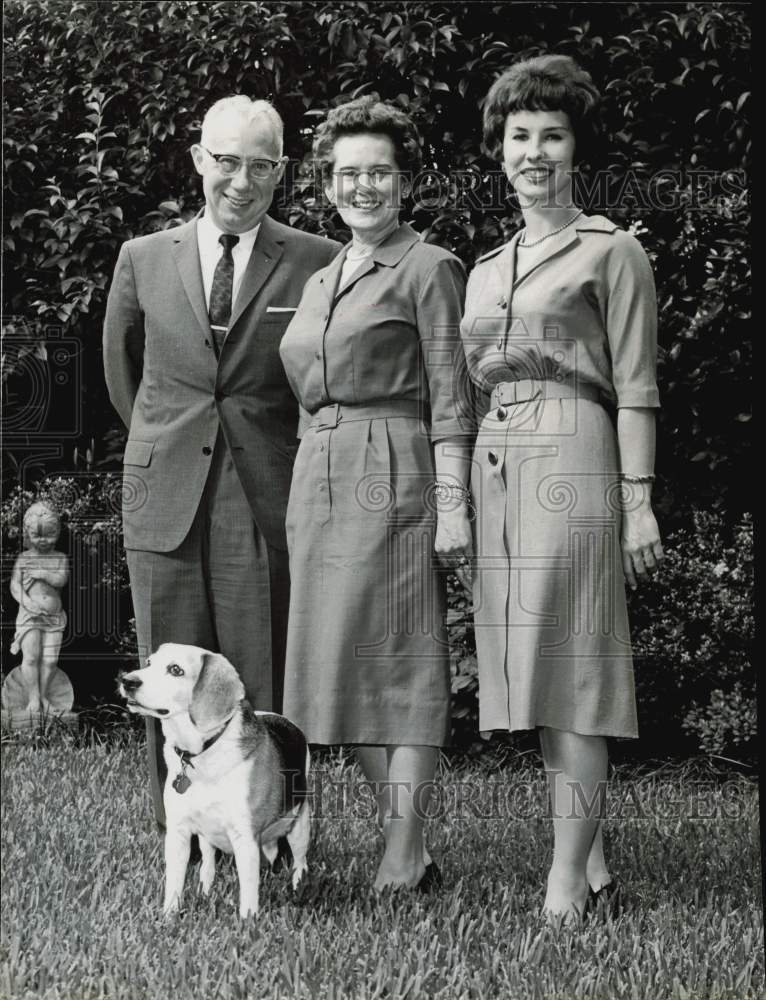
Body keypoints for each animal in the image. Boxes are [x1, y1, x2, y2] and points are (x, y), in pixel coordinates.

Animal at [118, 644, 310, 916]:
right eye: (148, 663)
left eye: (175, 669)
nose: (127, 681)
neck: (201, 753)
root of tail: (285, 720)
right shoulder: (178, 832)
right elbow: (174, 883)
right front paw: (168, 917)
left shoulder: (244, 838)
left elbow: (248, 894)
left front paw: (248, 923)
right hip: (206, 835)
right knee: (208, 862)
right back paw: (206, 889)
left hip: (300, 824)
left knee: (300, 862)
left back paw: (297, 887)